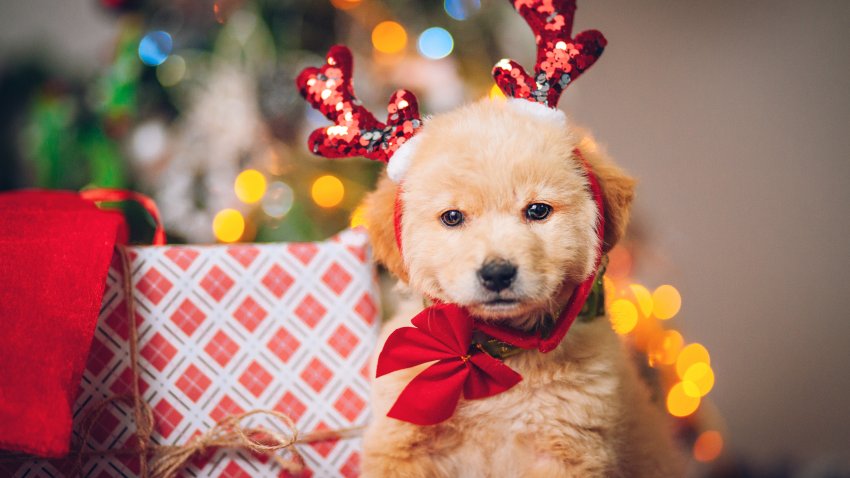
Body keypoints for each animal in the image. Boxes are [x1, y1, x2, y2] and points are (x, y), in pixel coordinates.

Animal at [358, 99, 684, 476]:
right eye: (452, 217)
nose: (498, 274)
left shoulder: (565, 450)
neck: (494, 353)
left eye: (538, 210)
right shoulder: (400, 449)